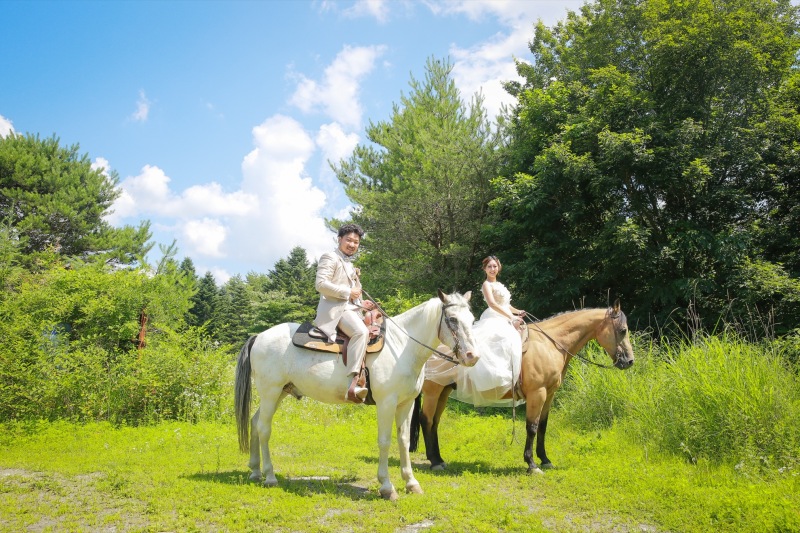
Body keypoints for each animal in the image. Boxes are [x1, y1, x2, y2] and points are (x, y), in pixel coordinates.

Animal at [234, 289, 480, 500]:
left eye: (471, 318)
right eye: (452, 320)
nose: (472, 356)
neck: (401, 347)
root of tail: (258, 337)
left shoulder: (406, 403)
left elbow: (403, 440)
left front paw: (411, 483)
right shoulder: (386, 403)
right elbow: (384, 441)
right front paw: (387, 487)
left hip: (280, 393)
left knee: (255, 422)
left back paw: (255, 471)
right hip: (270, 391)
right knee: (264, 428)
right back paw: (270, 476)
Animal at [410, 299, 634, 474]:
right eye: (623, 330)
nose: (629, 361)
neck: (549, 344)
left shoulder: (549, 395)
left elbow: (542, 426)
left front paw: (545, 460)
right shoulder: (537, 394)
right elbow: (532, 427)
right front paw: (532, 464)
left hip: (444, 391)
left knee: (434, 422)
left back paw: (439, 459)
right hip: (432, 391)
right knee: (426, 420)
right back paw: (434, 462)